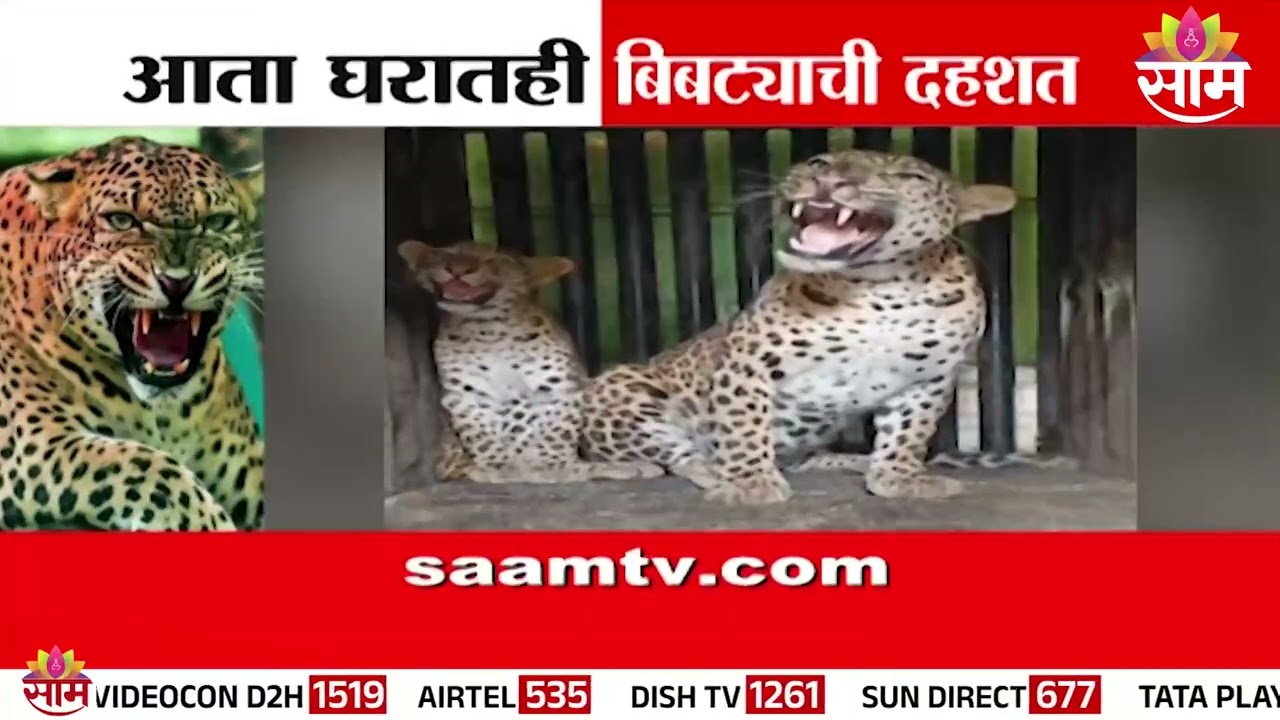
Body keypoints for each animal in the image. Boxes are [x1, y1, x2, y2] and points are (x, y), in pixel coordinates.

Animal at [0, 136, 264, 530]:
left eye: (217, 222)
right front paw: (212, 526)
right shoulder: (29, 443)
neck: (167, 414)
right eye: (122, 220)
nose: (177, 281)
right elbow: (149, 466)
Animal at [397, 240, 663, 484]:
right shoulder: (465, 395)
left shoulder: (556, 387)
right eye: (447, 254)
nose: (457, 269)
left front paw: (553, 466)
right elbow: (480, 435)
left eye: (496, 259)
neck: (490, 331)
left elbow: (556, 431)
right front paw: (498, 468)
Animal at [582, 148, 1040, 505]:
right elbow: (743, 424)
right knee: (675, 453)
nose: (828, 178)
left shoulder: (930, 377)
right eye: (820, 160)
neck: (882, 288)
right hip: (626, 388)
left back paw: (852, 460)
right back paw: (713, 468)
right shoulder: (747, 361)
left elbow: (910, 431)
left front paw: (897, 476)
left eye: (910, 177)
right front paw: (748, 481)